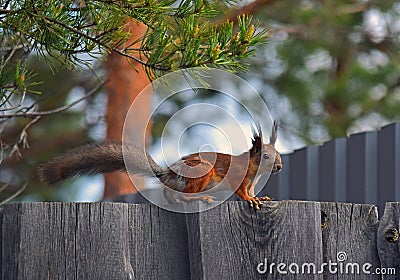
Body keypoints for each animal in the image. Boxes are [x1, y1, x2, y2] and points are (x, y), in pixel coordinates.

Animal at [39, 119, 282, 209]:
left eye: (279, 154)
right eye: (265, 156)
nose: (280, 167)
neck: (255, 171)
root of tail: (167, 174)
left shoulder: (252, 181)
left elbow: (252, 190)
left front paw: (260, 197)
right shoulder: (238, 176)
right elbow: (241, 192)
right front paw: (251, 200)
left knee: (170, 195)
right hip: (201, 173)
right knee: (180, 195)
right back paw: (200, 198)